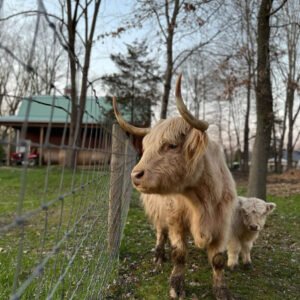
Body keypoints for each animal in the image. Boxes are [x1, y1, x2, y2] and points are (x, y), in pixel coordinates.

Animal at [112, 75, 237, 300]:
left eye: (171, 145)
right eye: (146, 147)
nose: (135, 175)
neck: (201, 198)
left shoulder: (222, 222)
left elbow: (218, 259)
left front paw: (221, 290)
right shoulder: (175, 218)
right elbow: (179, 254)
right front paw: (176, 285)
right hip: (160, 213)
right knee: (160, 233)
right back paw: (159, 256)